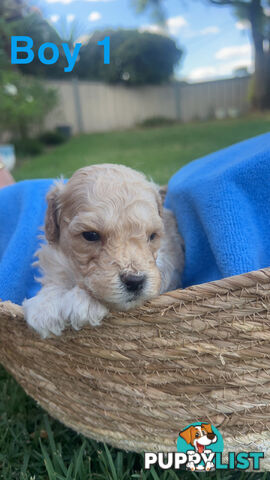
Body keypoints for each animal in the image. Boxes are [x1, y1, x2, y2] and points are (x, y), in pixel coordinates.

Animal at [23, 165, 185, 338]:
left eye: (152, 236)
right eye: (90, 235)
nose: (135, 281)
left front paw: (84, 301)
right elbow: (56, 278)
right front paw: (44, 307)